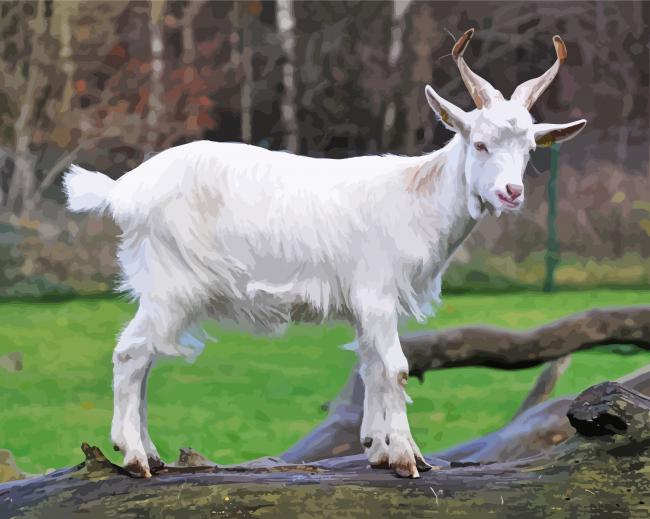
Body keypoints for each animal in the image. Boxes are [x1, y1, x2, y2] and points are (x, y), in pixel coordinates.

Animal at [64, 29, 585, 479]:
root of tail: (123, 192)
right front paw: (408, 459)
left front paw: (379, 449)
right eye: (478, 143)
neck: (416, 198)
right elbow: (396, 369)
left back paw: (150, 452)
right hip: (173, 285)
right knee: (131, 353)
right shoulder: (376, 293)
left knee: (145, 357)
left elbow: (372, 368)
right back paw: (134, 457)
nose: (511, 192)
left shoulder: (368, 303)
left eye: (529, 149)